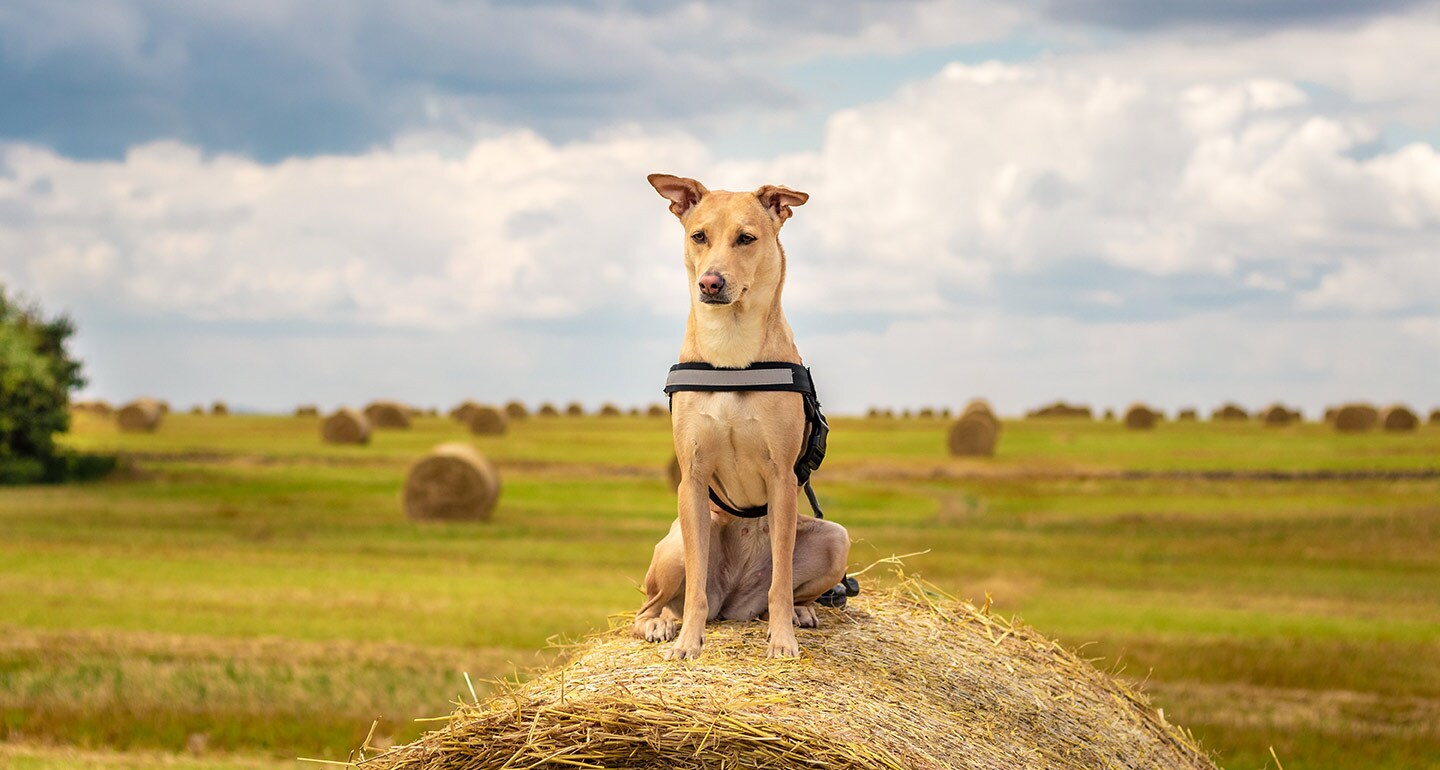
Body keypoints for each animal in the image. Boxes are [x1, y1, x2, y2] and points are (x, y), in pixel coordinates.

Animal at [633, 171, 852, 659]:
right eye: (699, 236)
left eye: (746, 238)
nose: (711, 283)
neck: (730, 353)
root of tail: (731, 601)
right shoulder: (692, 478)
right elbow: (694, 589)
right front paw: (688, 645)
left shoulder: (782, 479)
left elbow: (781, 583)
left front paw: (783, 639)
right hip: (675, 544)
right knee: (652, 603)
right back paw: (660, 624)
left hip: (834, 539)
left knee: (786, 591)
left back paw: (801, 612)